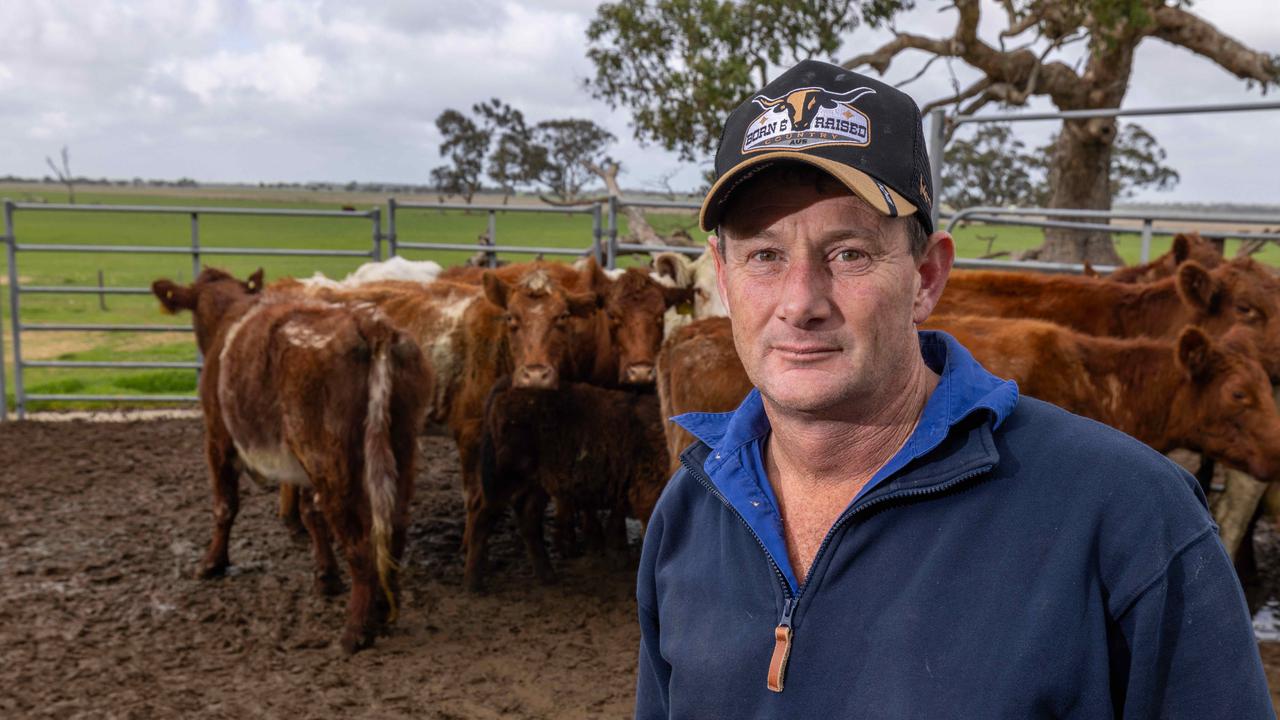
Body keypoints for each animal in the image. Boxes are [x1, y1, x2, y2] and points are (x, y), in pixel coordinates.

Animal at [152, 266, 432, 653]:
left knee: (360, 542)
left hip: (332, 462)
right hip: (400, 447)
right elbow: (311, 513)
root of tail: (370, 323)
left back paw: (356, 630)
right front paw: (326, 577)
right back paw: (381, 608)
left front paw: (212, 563)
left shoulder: (218, 438)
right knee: (393, 528)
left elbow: (224, 506)